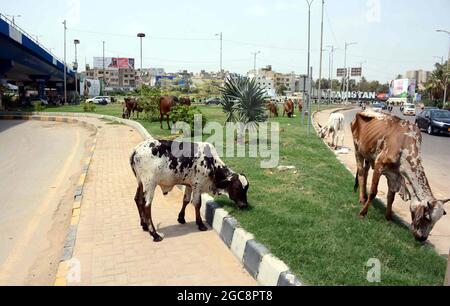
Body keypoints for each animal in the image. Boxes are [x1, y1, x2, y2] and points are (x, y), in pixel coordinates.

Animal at [354, 110, 448, 241]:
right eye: (427, 217)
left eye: (436, 221)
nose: (422, 238)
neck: (405, 146)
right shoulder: (379, 165)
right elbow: (373, 192)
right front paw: (363, 213)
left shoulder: (395, 175)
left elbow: (391, 197)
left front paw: (388, 217)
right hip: (357, 149)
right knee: (361, 172)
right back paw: (362, 198)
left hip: (368, 156)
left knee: (366, 172)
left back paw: (364, 195)